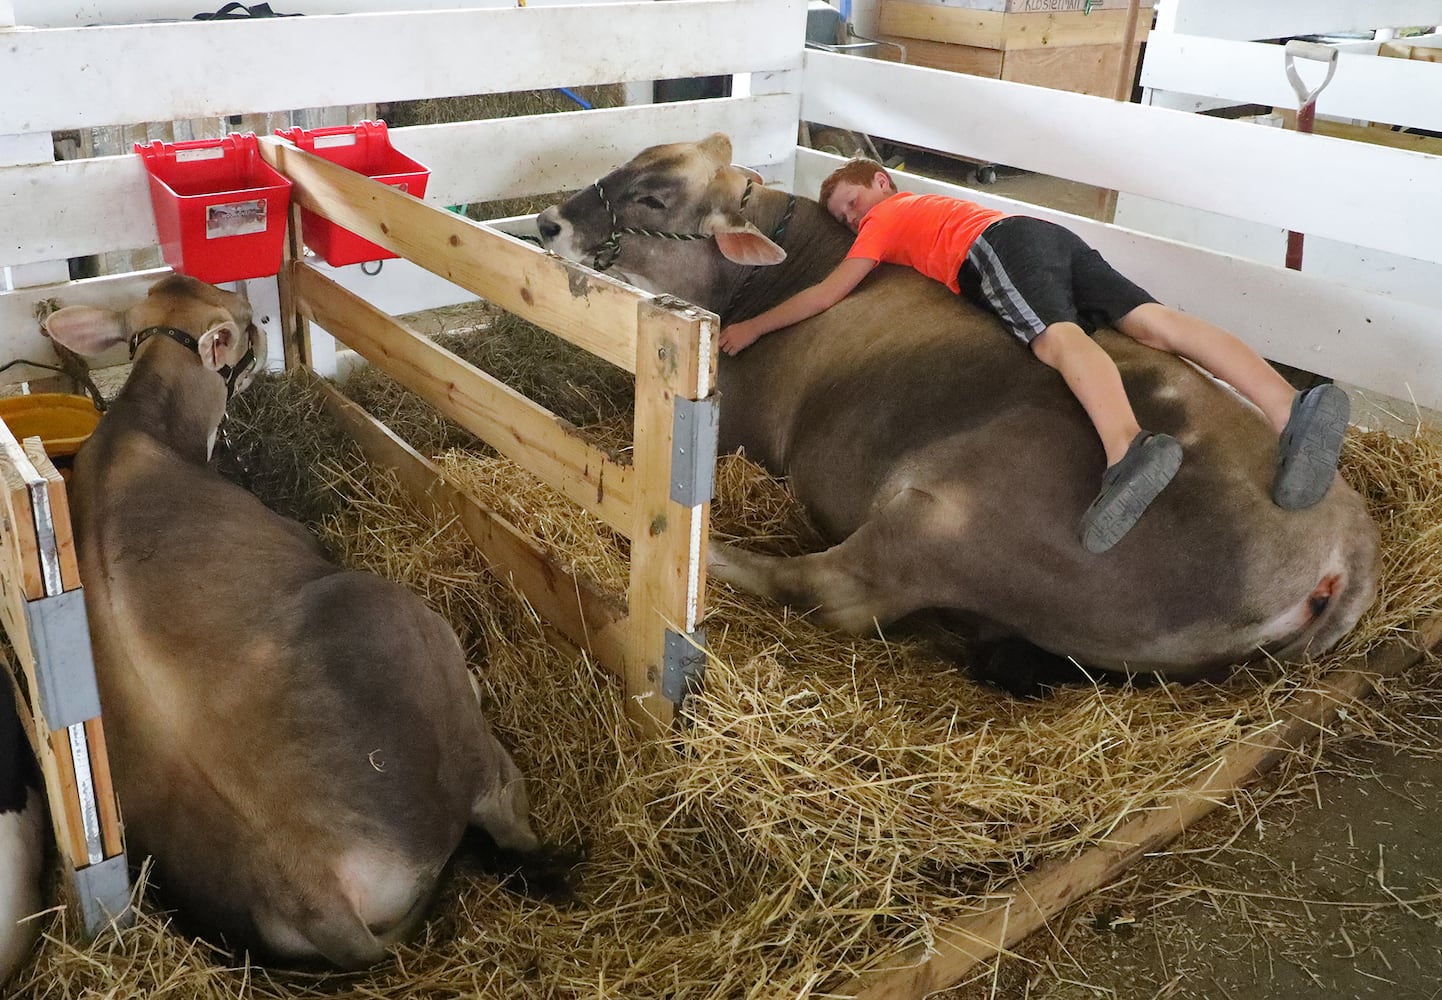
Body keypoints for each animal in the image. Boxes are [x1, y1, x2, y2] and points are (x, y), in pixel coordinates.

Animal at [42, 272, 545, 969]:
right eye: (248, 318)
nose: (259, 324)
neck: (143, 429)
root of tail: (311, 888)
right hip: (389, 619)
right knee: (503, 805)